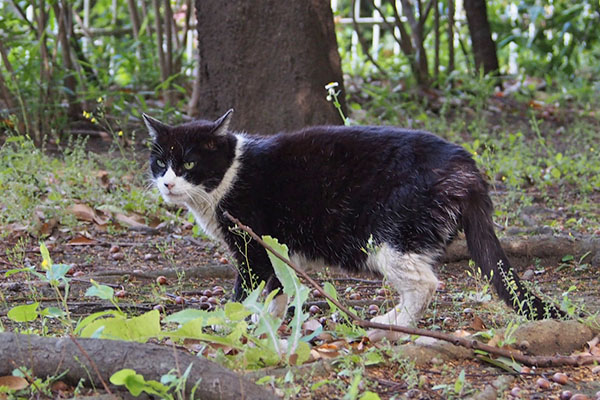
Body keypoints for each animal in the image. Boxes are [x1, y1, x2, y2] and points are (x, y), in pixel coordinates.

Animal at [144, 110, 564, 340]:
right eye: (161, 163)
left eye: (189, 164)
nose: (167, 184)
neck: (230, 174)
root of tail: (469, 167)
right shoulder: (274, 251)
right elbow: (277, 288)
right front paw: (269, 326)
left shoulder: (252, 244)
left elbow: (245, 290)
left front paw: (226, 323)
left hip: (390, 236)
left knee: (425, 283)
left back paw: (387, 324)